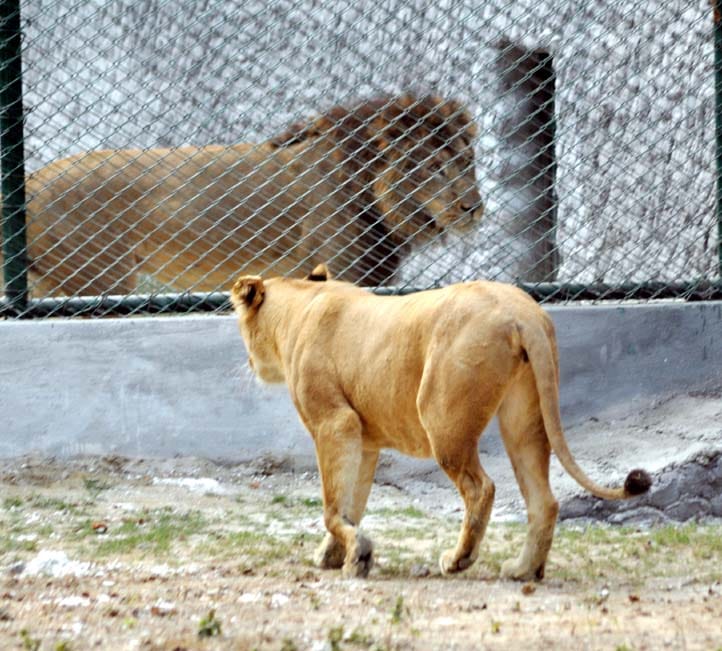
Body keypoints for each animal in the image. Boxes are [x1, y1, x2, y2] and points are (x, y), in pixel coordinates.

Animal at [7, 94, 482, 297]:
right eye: (433, 166)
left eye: (467, 162)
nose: (474, 207)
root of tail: (29, 183)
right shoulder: (344, 269)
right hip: (98, 280)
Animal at [230, 265, 652, 580]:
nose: (247, 362)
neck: (300, 305)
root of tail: (522, 311)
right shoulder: (363, 439)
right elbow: (352, 503)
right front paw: (338, 555)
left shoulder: (335, 423)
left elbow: (334, 507)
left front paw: (355, 556)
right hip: (524, 420)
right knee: (543, 500)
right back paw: (522, 570)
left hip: (442, 418)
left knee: (481, 488)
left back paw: (457, 560)